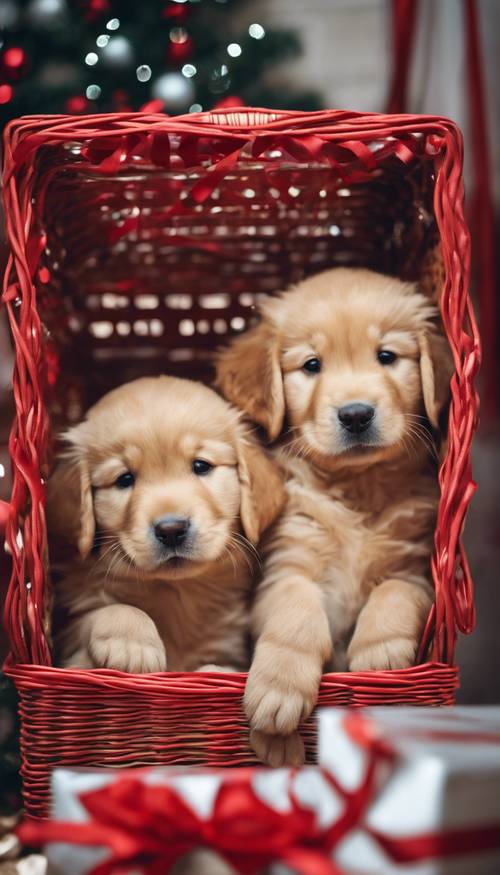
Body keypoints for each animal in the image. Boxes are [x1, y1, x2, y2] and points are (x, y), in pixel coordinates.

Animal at [47, 374, 286, 672]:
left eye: (201, 466)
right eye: (124, 479)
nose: (171, 530)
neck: (174, 591)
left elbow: (222, 668)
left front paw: (212, 671)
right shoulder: (70, 636)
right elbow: (100, 612)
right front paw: (132, 643)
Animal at [216, 268, 454, 768]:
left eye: (386, 356)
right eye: (311, 365)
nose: (356, 414)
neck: (357, 487)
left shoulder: (417, 569)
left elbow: (393, 592)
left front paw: (380, 655)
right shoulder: (285, 564)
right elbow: (296, 612)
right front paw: (279, 689)